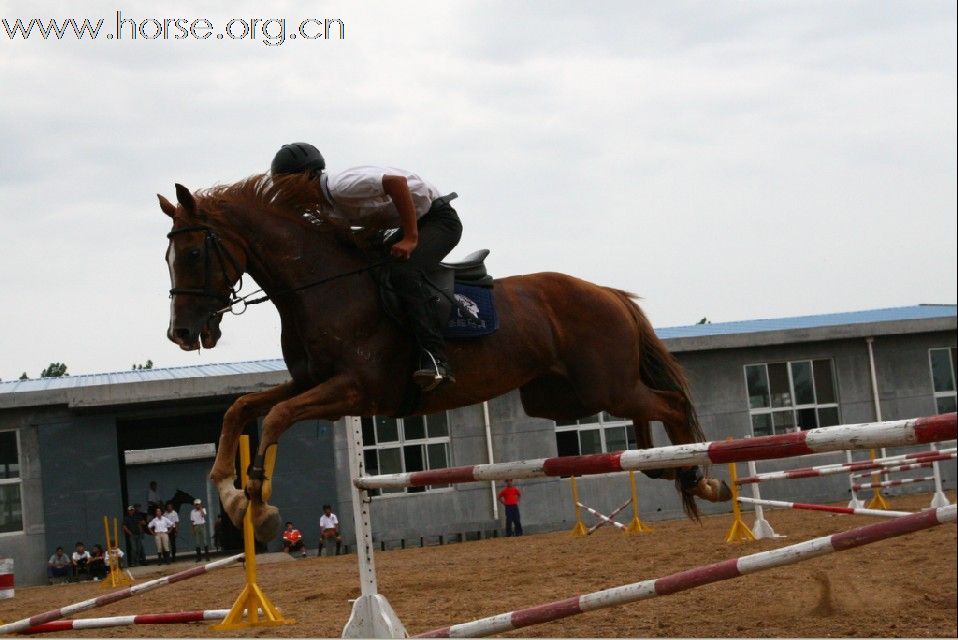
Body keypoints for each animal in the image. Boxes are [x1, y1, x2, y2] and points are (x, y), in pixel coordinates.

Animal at [158, 171, 732, 540]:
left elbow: (275, 417)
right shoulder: (309, 382)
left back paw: (703, 477)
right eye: (168, 256)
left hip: (601, 385)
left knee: (670, 405)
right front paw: (231, 493)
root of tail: (610, 293)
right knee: (645, 420)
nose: (181, 333)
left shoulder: (354, 390)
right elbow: (241, 409)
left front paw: (256, 506)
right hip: (564, 397)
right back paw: (682, 473)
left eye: (193, 253)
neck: (322, 288)